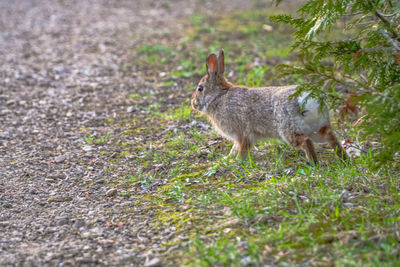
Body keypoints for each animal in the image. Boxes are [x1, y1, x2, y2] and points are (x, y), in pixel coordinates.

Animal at [191, 49, 346, 164]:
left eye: (200, 88)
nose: (193, 104)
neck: (219, 96)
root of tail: (306, 99)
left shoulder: (242, 133)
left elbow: (242, 148)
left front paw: (237, 161)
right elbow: (234, 148)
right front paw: (228, 158)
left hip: (288, 129)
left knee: (306, 141)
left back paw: (312, 162)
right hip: (318, 127)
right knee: (331, 137)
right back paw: (344, 159)